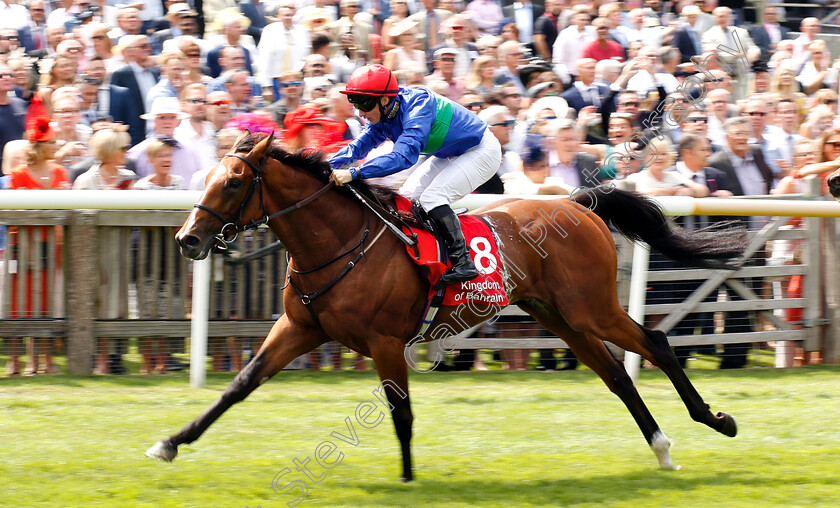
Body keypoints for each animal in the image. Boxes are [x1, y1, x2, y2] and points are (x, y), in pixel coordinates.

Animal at [148, 132, 744, 480]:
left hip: (590, 308)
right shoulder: (300, 327)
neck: (340, 242)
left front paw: (409, 480)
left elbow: (401, 413)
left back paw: (716, 420)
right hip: (560, 316)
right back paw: (662, 447)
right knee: (617, 377)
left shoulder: (386, 341)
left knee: (657, 343)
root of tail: (579, 202)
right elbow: (239, 385)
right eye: (206, 178)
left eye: (231, 183)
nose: (186, 240)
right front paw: (172, 442)